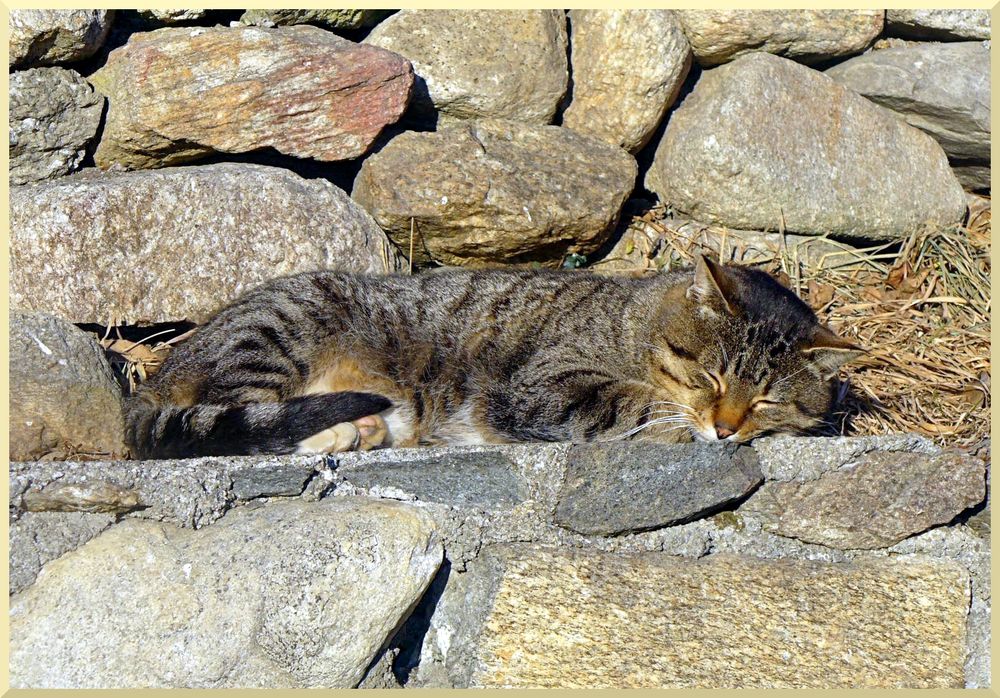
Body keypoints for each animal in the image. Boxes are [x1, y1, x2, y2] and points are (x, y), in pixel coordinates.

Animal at [123, 254, 860, 456]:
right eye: (711, 377)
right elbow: (639, 405)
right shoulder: (542, 387)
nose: (728, 427)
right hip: (283, 326)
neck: (632, 325)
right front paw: (680, 420)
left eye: (767, 397)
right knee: (235, 418)